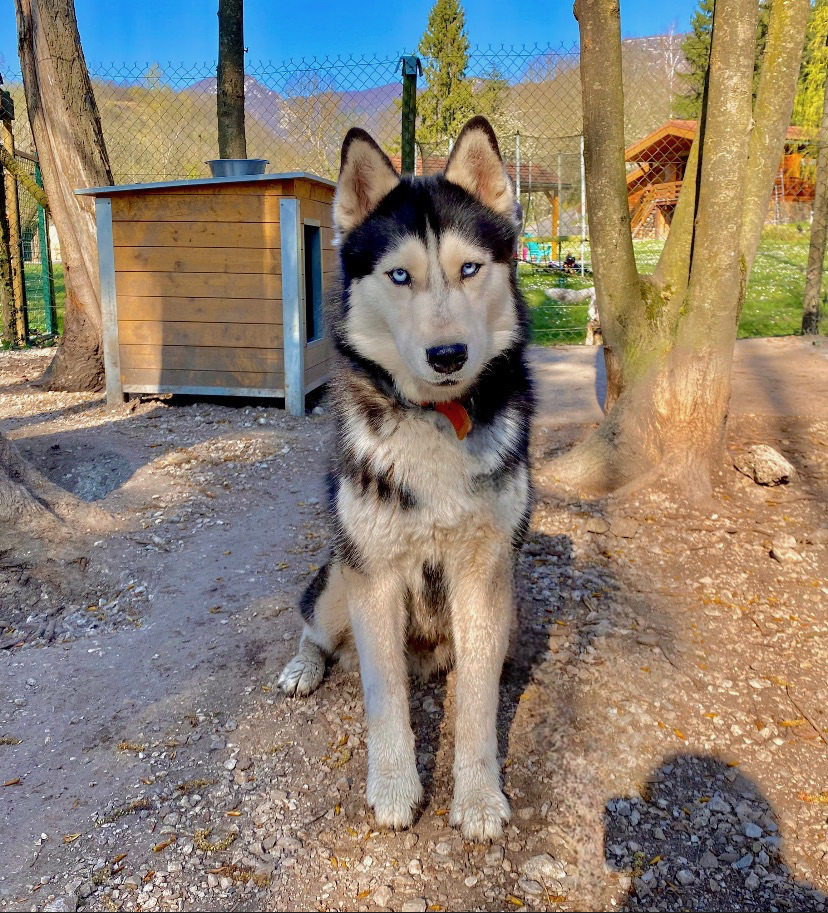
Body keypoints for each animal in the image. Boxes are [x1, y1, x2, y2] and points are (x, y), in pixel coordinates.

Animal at [278, 116, 536, 840]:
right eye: (400, 276)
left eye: (469, 268)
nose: (448, 355)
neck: (434, 419)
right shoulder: (375, 579)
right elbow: (383, 694)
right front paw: (394, 787)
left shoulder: (483, 576)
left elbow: (477, 702)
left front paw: (477, 797)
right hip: (339, 576)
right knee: (313, 624)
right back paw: (303, 665)